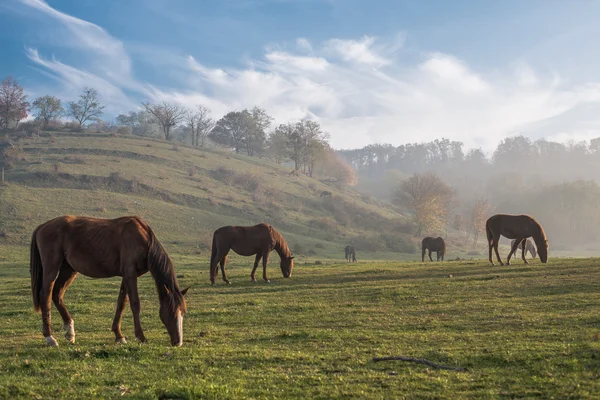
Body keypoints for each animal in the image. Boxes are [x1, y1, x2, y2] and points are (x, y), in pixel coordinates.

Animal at [29, 216, 188, 346]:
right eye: (172, 312)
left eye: (183, 312)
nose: (178, 342)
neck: (143, 240)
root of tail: (42, 226)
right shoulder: (130, 274)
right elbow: (135, 304)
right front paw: (141, 337)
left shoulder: (127, 275)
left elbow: (121, 303)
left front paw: (119, 335)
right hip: (52, 268)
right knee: (46, 295)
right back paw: (50, 337)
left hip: (68, 269)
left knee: (57, 294)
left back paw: (70, 332)